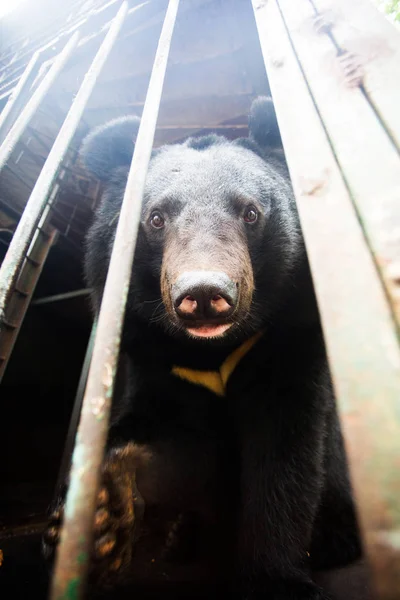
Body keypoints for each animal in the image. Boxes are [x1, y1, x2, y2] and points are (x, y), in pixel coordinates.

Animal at [44, 98, 362, 600]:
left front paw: (276, 580)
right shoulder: (155, 359)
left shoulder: (288, 335)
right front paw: (96, 523)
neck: (210, 350)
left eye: (250, 212)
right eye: (156, 218)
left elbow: (286, 452)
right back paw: (182, 537)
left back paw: (335, 538)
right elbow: (152, 429)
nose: (205, 294)